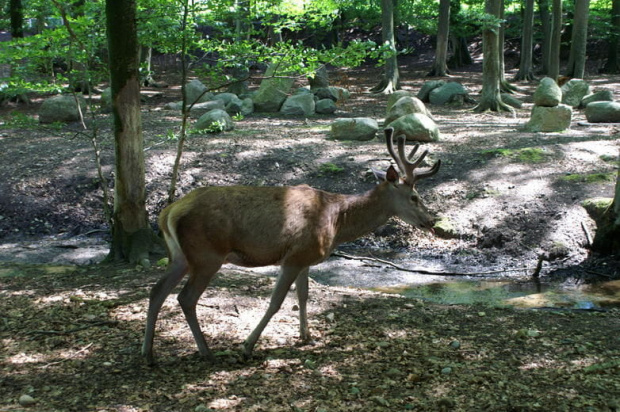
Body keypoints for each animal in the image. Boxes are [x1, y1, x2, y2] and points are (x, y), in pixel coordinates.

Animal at [142, 127, 440, 362]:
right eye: (414, 196)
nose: (431, 221)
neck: (337, 220)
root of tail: (168, 212)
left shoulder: (306, 258)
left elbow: (303, 296)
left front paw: (306, 336)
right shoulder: (293, 257)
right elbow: (276, 302)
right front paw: (248, 346)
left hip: (180, 255)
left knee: (157, 291)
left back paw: (148, 353)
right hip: (207, 254)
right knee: (185, 297)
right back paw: (205, 351)